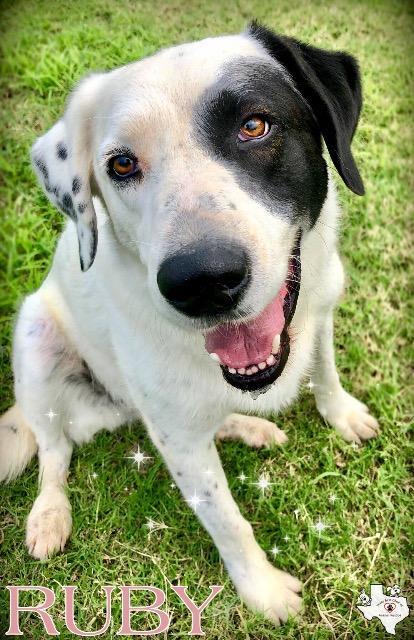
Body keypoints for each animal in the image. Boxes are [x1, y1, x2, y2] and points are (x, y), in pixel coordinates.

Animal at [0, 22, 378, 624]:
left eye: (254, 125)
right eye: (121, 165)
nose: (201, 281)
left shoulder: (320, 307)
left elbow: (324, 370)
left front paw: (341, 413)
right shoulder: (181, 445)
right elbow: (226, 521)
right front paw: (263, 591)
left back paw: (247, 425)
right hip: (35, 338)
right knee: (54, 452)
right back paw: (49, 515)